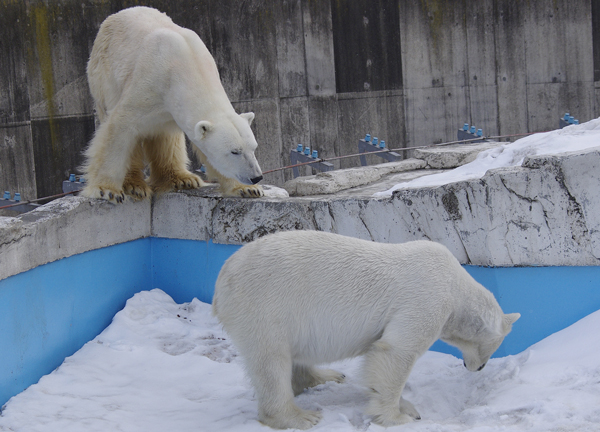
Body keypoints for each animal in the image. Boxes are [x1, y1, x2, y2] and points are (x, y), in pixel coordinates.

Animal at [81, 6, 264, 202]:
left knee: (167, 136)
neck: (188, 64)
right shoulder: (148, 82)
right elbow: (120, 126)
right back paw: (134, 185)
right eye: (234, 151)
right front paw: (106, 189)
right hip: (103, 76)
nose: (256, 177)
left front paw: (248, 189)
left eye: (254, 148)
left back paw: (182, 179)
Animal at [212, 230, 520, 428]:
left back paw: (326, 376)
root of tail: (222, 278)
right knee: (271, 360)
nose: (477, 368)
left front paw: (408, 408)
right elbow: (397, 352)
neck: (457, 286)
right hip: (264, 304)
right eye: (494, 347)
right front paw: (397, 417)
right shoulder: (426, 298)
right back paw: (299, 417)